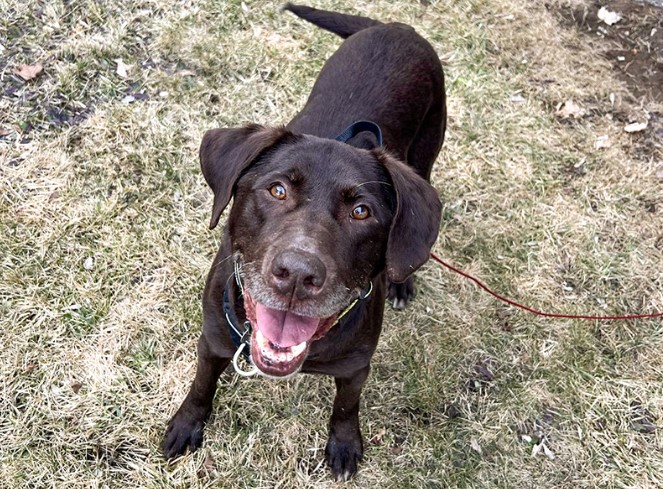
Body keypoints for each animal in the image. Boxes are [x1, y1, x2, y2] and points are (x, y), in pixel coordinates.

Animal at [163, 3, 446, 480]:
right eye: (277, 190)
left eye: (361, 211)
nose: (297, 275)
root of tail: (397, 26)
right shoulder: (214, 338)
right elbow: (201, 384)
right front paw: (186, 424)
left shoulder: (356, 367)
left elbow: (346, 407)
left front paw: (345, 445)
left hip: (426, 154)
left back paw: (402, 278)